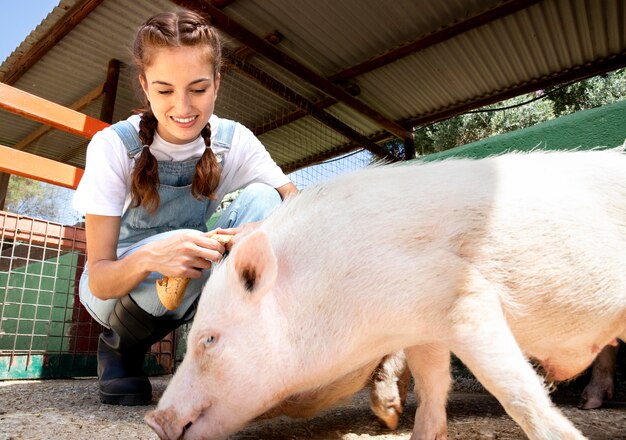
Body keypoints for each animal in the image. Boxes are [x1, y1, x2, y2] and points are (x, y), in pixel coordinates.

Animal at [145, 150, 624, 440]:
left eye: (209, 339)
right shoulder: (424, 324)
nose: (153, 419)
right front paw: (412, 429)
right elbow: (434, 381)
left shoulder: (462, 297)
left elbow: (515, 387)